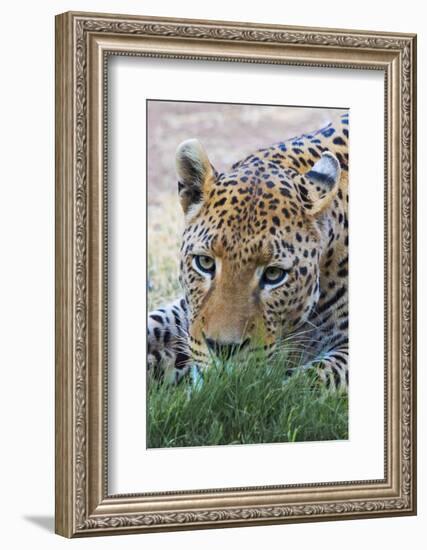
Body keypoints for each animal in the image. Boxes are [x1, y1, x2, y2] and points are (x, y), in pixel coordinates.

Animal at [149, 112, 350, 392]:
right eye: (204, 263)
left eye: (274, 274)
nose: (223, 349)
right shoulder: (186, 311)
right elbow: (155, 324)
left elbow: (305, 383)